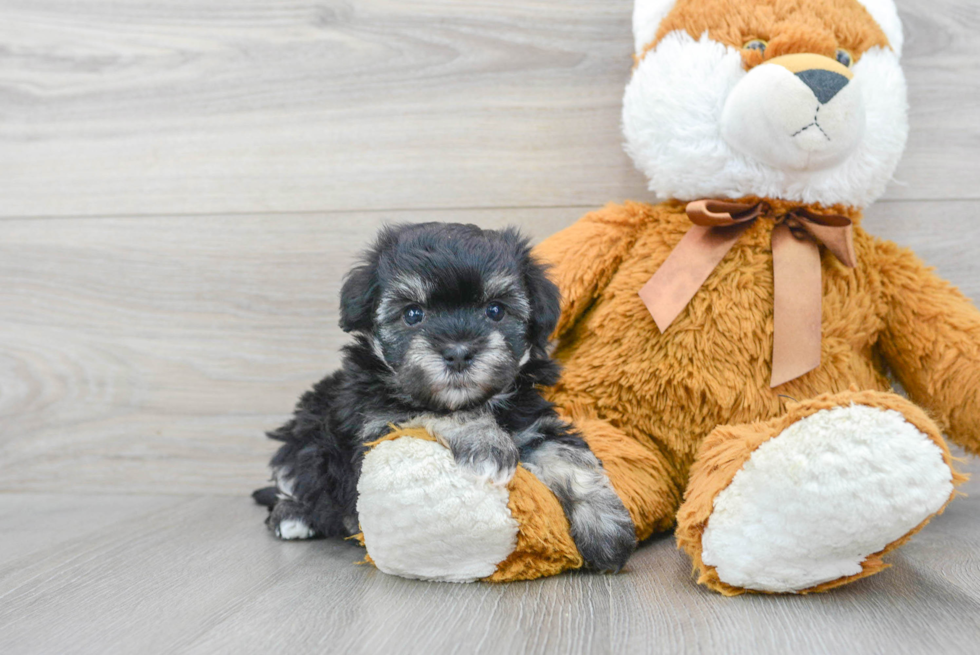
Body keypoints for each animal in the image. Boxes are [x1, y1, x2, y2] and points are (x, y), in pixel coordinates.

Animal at [253, 223, 636, 572]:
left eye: (496, 311)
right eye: (413, 313)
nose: (458, 352)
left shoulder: (534, 423)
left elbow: (572, 460)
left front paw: (608, 528)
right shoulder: (379, 420)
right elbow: (443, 412)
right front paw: (487, 443)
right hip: (305, 439)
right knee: (292, 482)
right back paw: (295, 516)